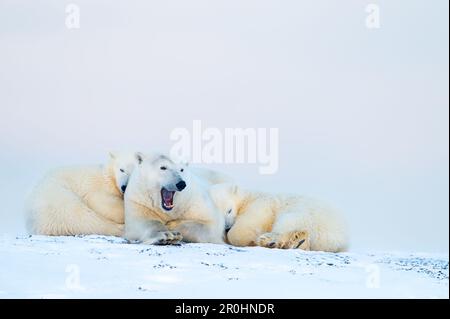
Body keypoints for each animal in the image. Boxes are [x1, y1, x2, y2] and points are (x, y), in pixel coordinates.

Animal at [209, 184, 350, 254]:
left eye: (229, 210)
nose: (227, 227)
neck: (247, 198)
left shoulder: (263, 203)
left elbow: (254, 219)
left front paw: (244, 238)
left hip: (306, 214)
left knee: (288, 223)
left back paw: (272, 241)